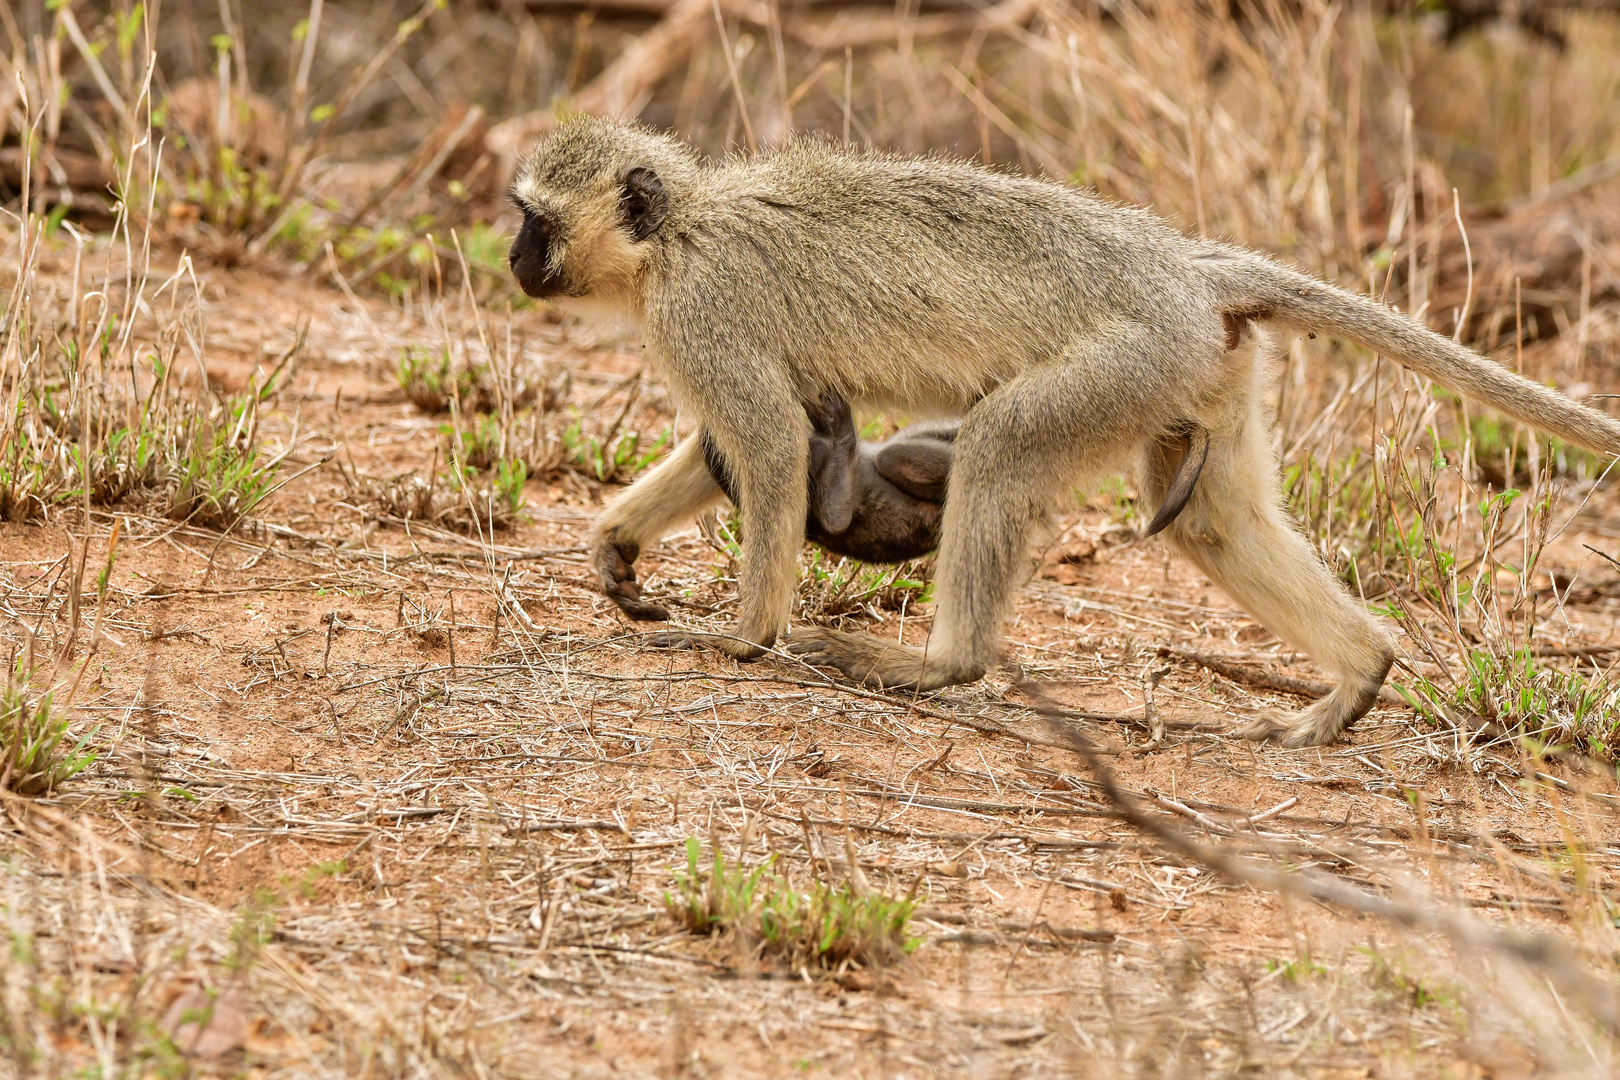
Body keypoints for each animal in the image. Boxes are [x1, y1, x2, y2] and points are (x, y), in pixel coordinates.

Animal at [505, 116, 1620, 744]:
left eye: (535, 219)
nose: (511, 260)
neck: (678, 232)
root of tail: (1182, 268)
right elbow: (727, 447)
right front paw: (616, 547)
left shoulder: (702, 311)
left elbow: (770, 445)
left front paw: (744, 636)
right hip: (1189, 366)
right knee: (1212, 520)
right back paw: (1357, 676)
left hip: (1127, 359)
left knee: (1001, 445)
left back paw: (941, 665)